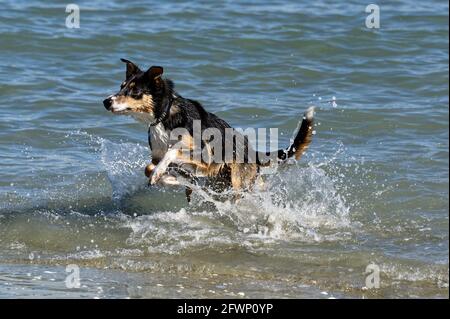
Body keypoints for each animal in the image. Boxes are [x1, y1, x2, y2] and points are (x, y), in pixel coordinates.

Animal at [103, 58, 314, 201]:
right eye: (121, 87)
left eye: (134, 91)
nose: (106, 101)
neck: (165, 116)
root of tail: (254, 153)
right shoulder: (157, 155)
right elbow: (149, 168)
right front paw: (169, 179)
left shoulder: (204, 157)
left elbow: (172, 152)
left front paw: (161, 173)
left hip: (237, 183)